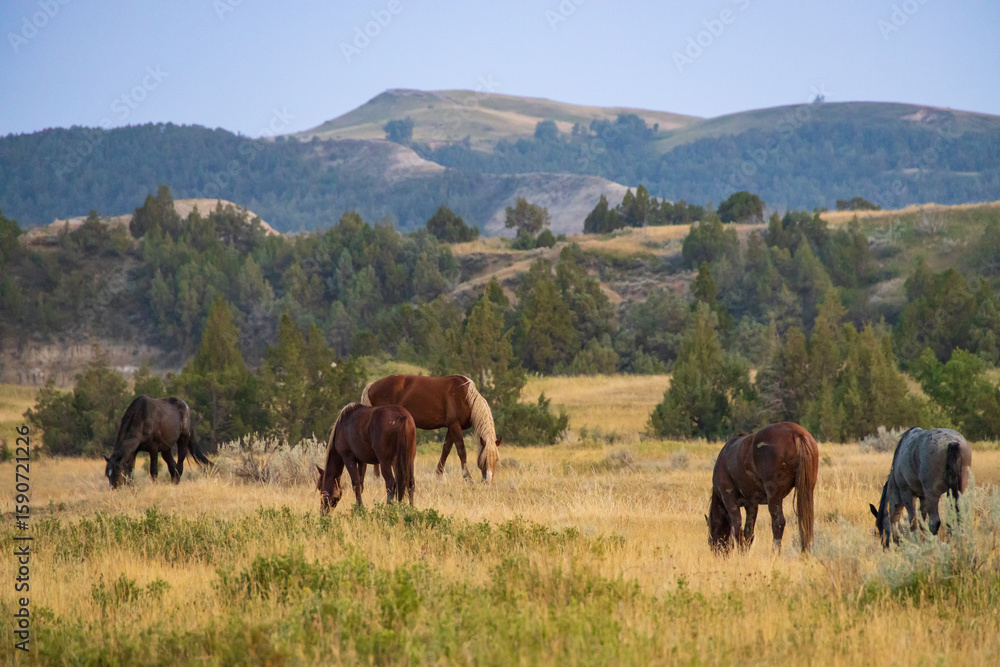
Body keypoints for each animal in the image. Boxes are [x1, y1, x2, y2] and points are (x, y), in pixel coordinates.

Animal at [360, 374, 501, 483]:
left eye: (496, 460)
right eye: (484, 459)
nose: (488, 482)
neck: (465, 397)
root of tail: (371, 386)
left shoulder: (451, 427)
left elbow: (445, 450)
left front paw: (438, 475)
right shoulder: (455, 426)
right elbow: (462, 452)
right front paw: (468, 479)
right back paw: (377, 478)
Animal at [707, 422, 819, 554]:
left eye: (710, 541)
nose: (718, 555)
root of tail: (796, 433)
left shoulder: (729, 498)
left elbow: (737, 527)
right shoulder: (751, 505)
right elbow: (748, 531)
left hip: (774, 496)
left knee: (778, 522)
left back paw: (775, 553)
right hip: (807, 490)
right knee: (805, 522)